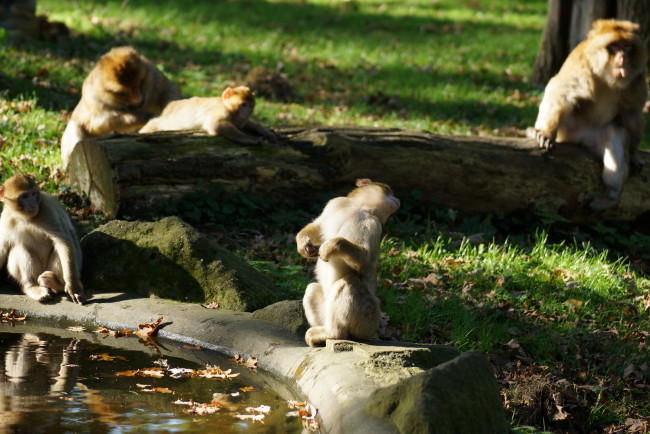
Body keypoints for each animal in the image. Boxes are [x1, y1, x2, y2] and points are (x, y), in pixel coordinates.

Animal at [0, 174, 85, 306]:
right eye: (24, 196)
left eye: (34, 194)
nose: (33, 205)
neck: (25, 218)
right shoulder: (5, 219)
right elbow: (2, 249)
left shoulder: (48, 209)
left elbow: (63, 242)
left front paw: (73, 287)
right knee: (19, 248)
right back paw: (31, 287)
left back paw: (55, 283)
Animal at [138, 85, 274, 145]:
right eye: (243, 105)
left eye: (250, 107)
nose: (246, 113)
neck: (226, 106)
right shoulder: (221, 111)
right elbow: (216, 124)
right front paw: (248, 139)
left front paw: (264, 131)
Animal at [294, 178, 398, 348]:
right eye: (389, 191)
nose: (398, 200)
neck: (358, 209)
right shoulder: (335, 203)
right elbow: (317, 227)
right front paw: (303, 245)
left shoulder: (373, 224)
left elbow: (363, 257)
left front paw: (332, 245)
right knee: (312, 289)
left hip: (367, 321)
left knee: (349, 283)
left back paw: (333, 334)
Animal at [528, 19, 644, 210]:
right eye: (613, 46)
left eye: (627, 46)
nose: (622, 57)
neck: (608, 76)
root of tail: (583, 139)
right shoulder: (581, 62)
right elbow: (560, 92)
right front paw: (544, 133)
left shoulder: (638, 78)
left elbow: (632, 115)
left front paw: (634, 155)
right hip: (569, 130)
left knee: (615, 132)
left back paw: (611, 194)